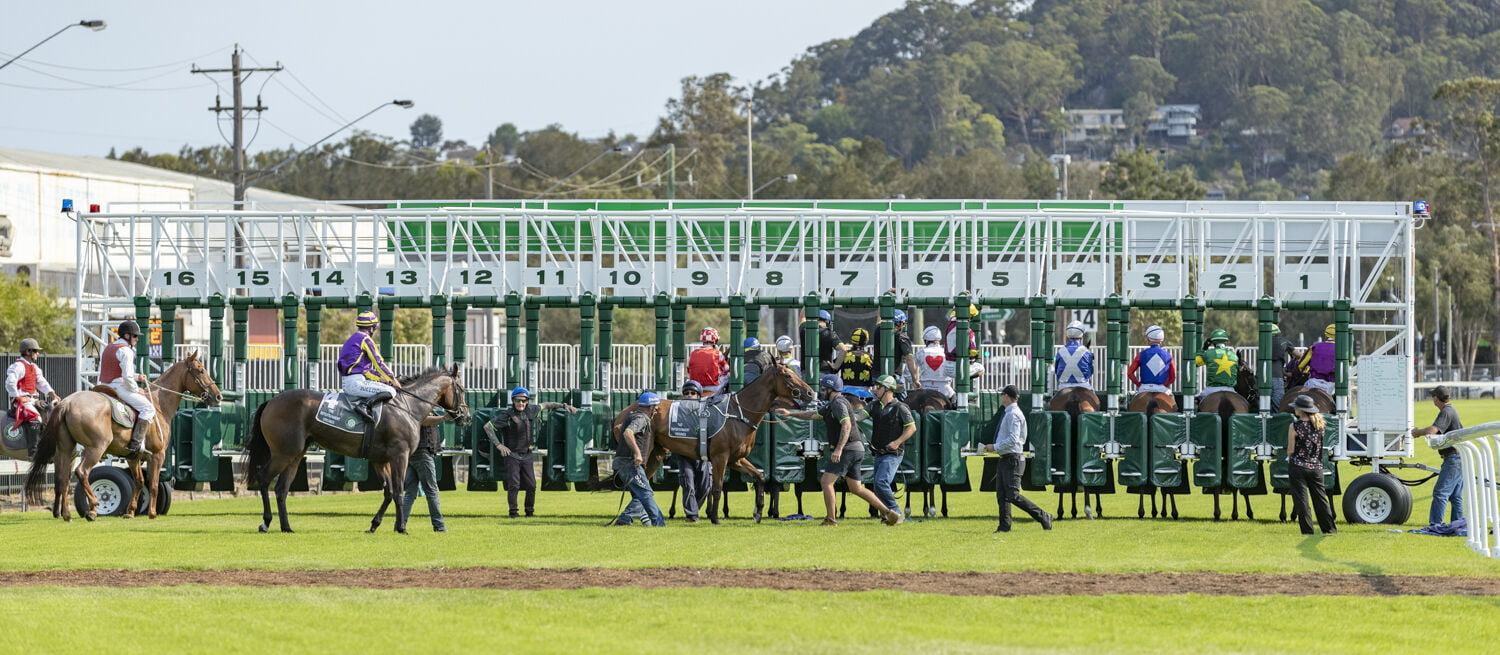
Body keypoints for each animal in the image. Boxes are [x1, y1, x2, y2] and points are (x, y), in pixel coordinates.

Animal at [23, 352, 220, 521]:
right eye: (201, 370)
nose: (217, 396)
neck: (158, 404)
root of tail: (67, 402)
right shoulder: (158, 455)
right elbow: (154, 484)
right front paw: (152, 513)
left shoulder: (133, 457)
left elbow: (140, 482)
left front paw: (131, 512)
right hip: (95, 449)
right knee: (82, 472)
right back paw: (93, 507)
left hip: (66, 450)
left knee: (63, 479)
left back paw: (66, 514)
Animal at [244, 365, 468, 533]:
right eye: (462, 389)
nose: (465, 416)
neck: (407, 406)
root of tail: (271, 401)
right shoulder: (400, 456)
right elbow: (398, 491)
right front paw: (401, 527)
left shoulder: (380, 460)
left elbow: (388, 492)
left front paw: (374, 525)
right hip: (283, 453)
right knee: (264, 478)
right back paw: (267, 521)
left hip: (295, 455)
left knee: (281, 489)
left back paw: (286, 527)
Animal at [612, 359, 816, 524]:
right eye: (788, 375)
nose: (810, 393)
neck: (738, 414)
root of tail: (623, 414)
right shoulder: (720, 458)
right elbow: (717, 488)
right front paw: (715, 517)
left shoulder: (736, 459)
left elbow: (759, 477)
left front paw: (758, 513)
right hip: (642, 451)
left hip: (657, 452)